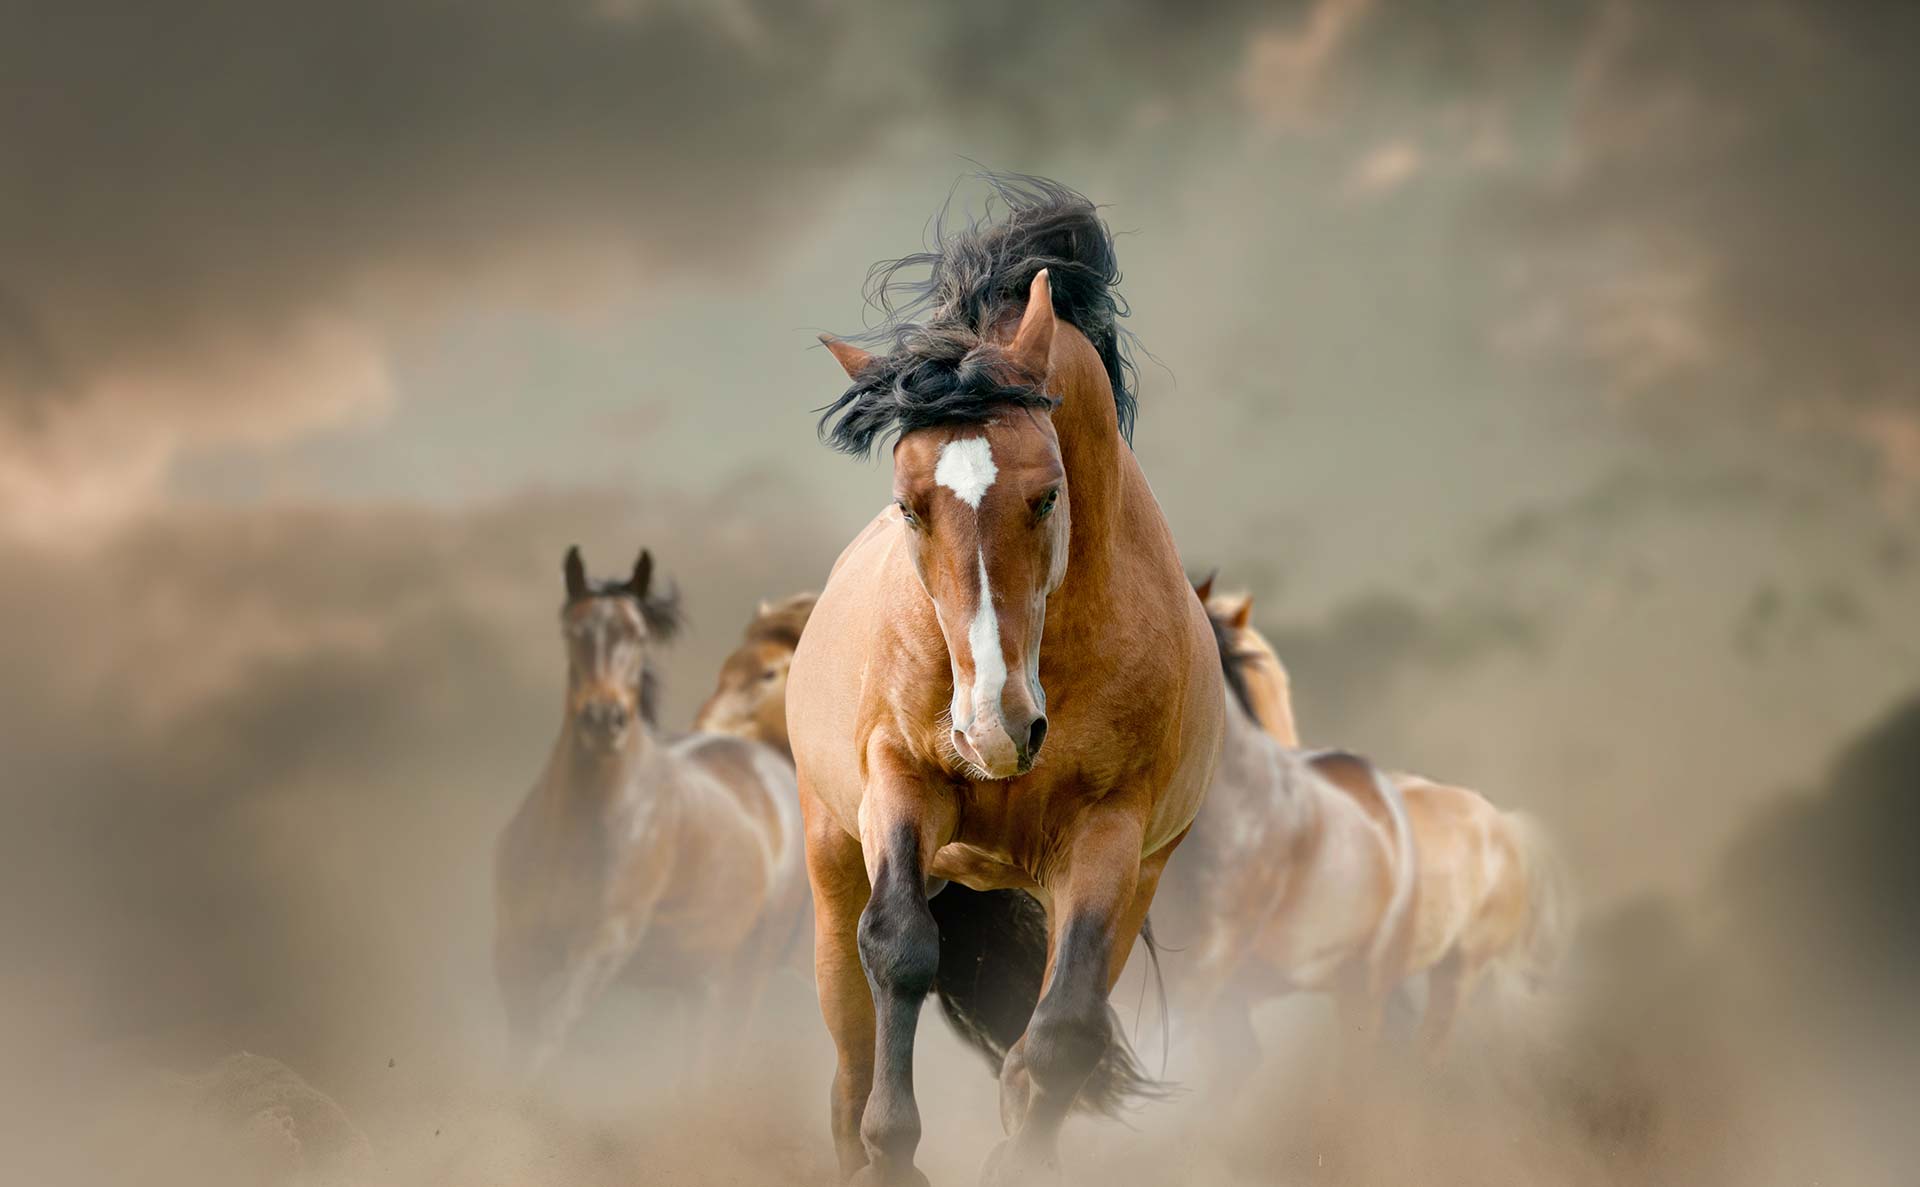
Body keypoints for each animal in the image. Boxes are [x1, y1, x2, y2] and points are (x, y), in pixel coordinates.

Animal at [495, 541, 810, 1075]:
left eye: (638, 635)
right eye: (573, 630)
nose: (604, 719)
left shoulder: (603, 943)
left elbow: (549, 1036)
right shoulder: (516, 950)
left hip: (744, 976)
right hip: (696, 982)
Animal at [787, 177, 1221, 1183]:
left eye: (1046, 493)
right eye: (909, 506)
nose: (995, 729)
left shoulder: (1110, 833)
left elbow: (1058, 1039)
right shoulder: (899, 782)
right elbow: (901, 949)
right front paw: (893, 1151)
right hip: (832, 859)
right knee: (848, 1057)